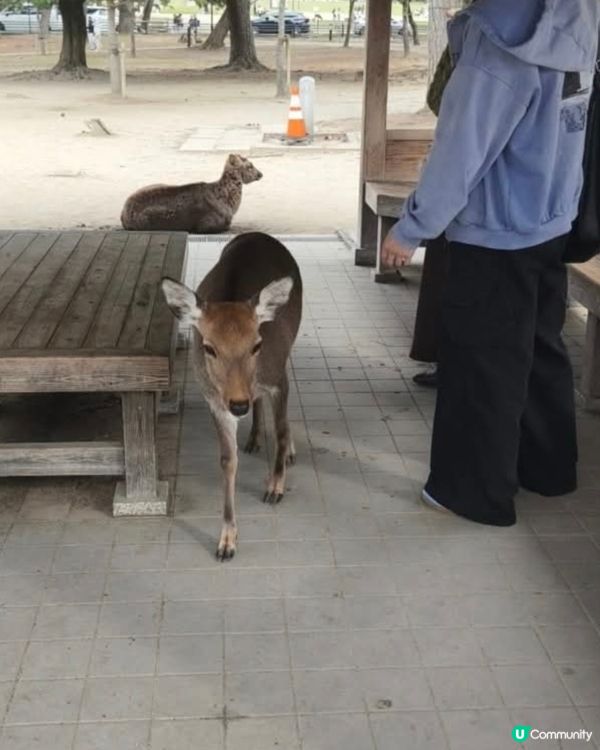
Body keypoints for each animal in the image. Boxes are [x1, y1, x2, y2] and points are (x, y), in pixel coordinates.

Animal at [120, 154, 262, 234]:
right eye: (250, 165)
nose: (261, 174)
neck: (230, 206)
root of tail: (122, 215)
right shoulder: (206, 225)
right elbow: (226, 227)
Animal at [161, 232, 303, 560]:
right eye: (209, 347)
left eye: (257, 344)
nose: (238, 404)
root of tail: (258, 234)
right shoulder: (215, 400)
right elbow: (227, 460)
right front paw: (226, 540)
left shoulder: (276, 378)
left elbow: (280, 430)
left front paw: (275, 487)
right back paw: (252, 438)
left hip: (288, 350)